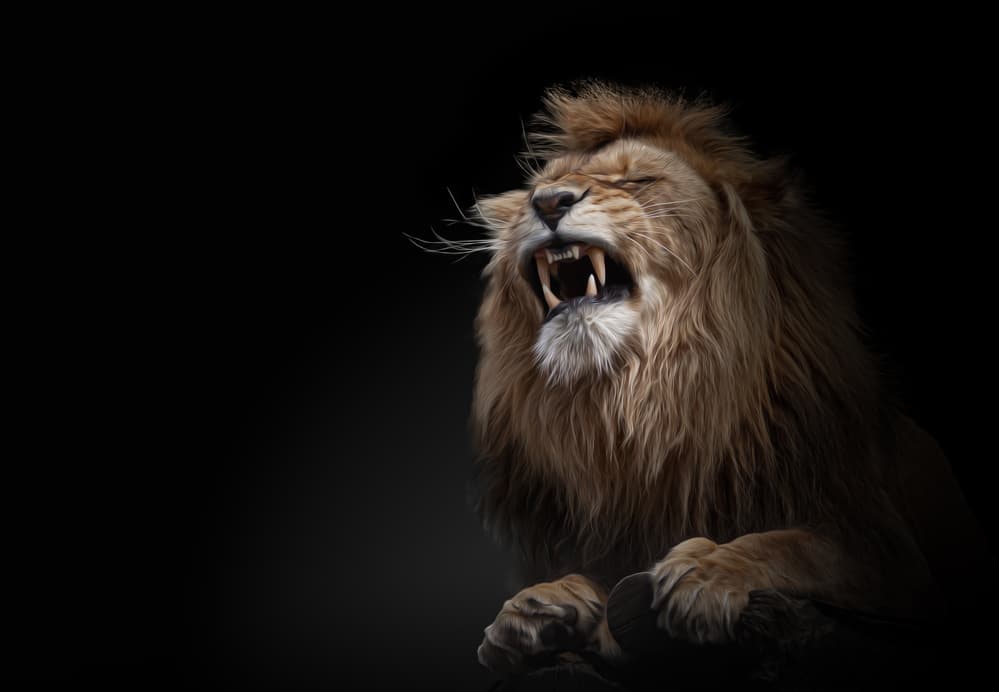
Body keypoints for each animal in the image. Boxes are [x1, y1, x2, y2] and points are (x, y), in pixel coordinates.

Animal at [460, 83, 991, 680]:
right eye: (537, 189)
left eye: (637, 181)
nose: (548, 202)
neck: (642, 403)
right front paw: (536, 609)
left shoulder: (901, 567)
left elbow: (801, 545)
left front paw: (710, 567)